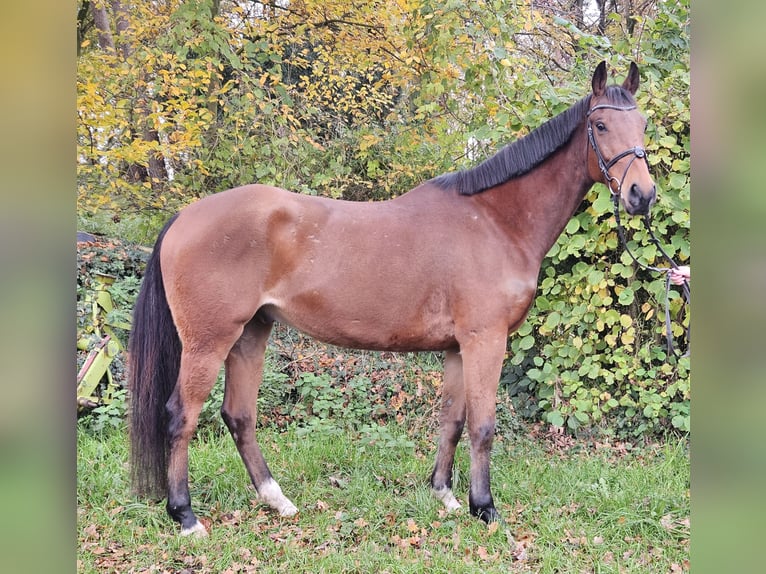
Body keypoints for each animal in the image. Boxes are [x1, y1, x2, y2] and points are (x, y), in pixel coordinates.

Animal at [129, 60, 656, 536]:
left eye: (643, 124)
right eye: (601, 125)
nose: (643, 195)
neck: (495, 220)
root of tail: (184, 217)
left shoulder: (457, 347)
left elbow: (452, 419)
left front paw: (445, 495)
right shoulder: (485, 339)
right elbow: (483, 425)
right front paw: (484, 508)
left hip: (251, 334)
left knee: (238, 416)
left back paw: (277, 501)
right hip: (209, 341)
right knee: (181, 416)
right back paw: (186, 517)